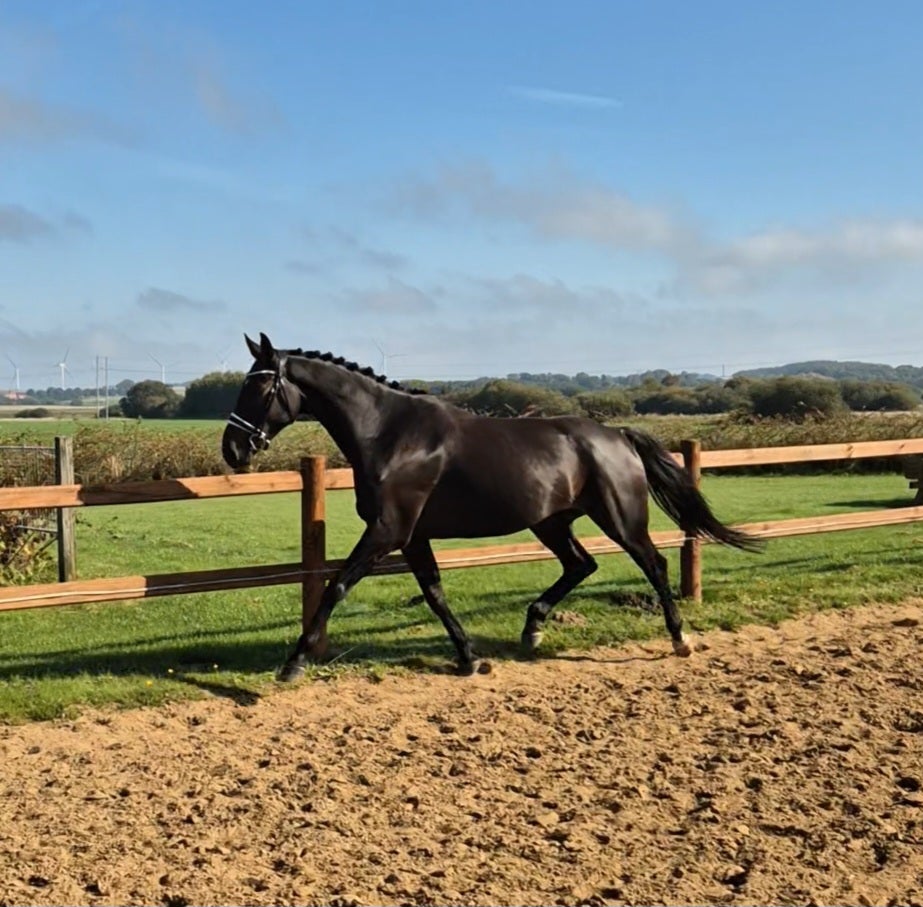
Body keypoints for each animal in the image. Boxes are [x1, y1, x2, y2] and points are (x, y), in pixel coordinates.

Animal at [222, 334, 756, 680]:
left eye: (259, 388)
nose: (232, 449)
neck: (389, 432)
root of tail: (617, 435)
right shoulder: (412, 536)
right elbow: (435, 594)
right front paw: (470, 657)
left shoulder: (388, 531)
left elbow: (336, 586)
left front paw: (294, 662)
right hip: (551, 523)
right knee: (581, 565)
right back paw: (533, 629)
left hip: (621, 519)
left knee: (654, 564)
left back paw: (680, 640)